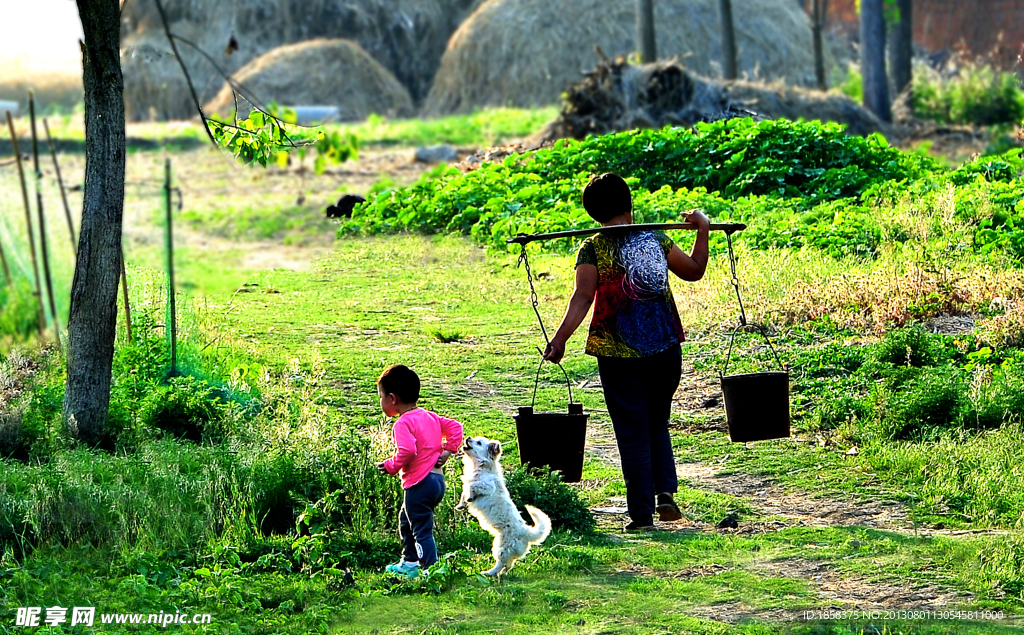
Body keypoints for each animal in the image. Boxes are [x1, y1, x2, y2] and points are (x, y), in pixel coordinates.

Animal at [458, 436, 552, 573]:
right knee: (508, 565)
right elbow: (464, 491)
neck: (480, 467)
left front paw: (470, 497)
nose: (468, 438)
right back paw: (500, 574)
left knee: (501, 563)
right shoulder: (467, 484)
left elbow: (472, 486)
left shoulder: (488, 486)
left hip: (501, 547)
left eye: (479, 443)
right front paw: (461, 504)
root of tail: (526, 533)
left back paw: (489, 573)